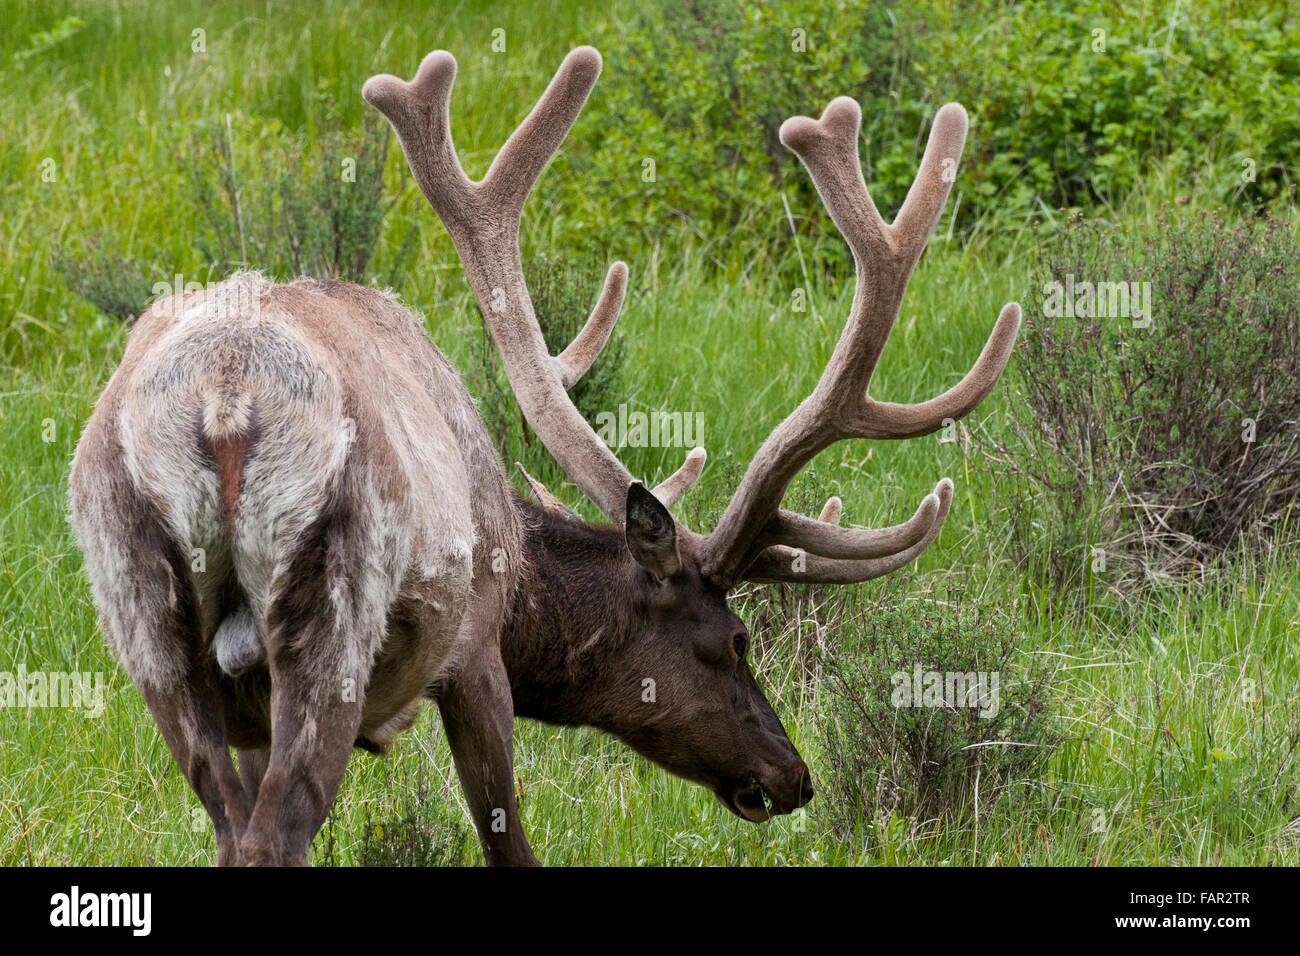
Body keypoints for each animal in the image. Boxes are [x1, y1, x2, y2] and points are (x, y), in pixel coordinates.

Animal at [67, 44, 1019, 867]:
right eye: (737, 638)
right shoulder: (475, 652)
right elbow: (509, 844)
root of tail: (223, 403)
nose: (793, 777)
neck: (523, 568)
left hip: (147, 618)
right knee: (276, 835)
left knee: (233, 830)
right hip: (332, 609)